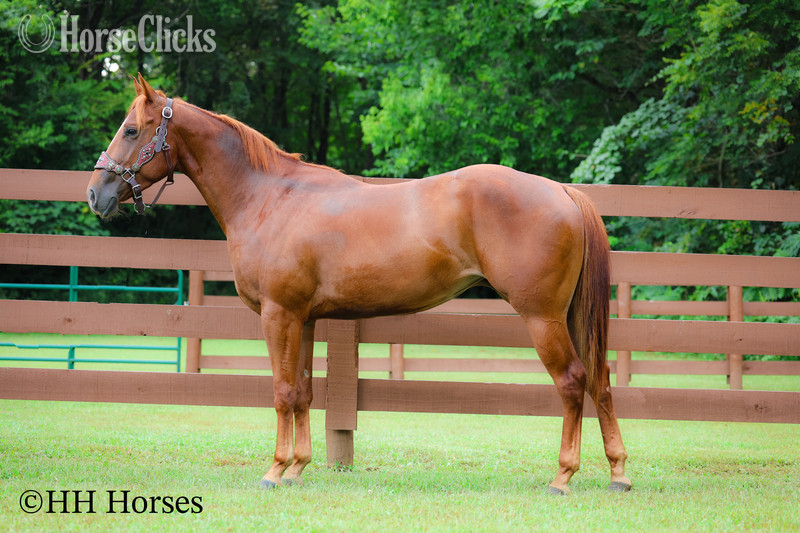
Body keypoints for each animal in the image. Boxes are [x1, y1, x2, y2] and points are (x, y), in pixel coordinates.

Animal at [86, 74, 630, 495]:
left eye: (131, 129)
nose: (95, 194)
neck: (269, 197)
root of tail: (560, 190)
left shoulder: (279, 314)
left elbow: (282, 391)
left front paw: (274, 471)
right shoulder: (303, 319)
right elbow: (304, 390)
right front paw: (297, 469)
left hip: (542, 318)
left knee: (572, 383)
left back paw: (563, 477)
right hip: (569, 317)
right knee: (600, 380)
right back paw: (618, 474)